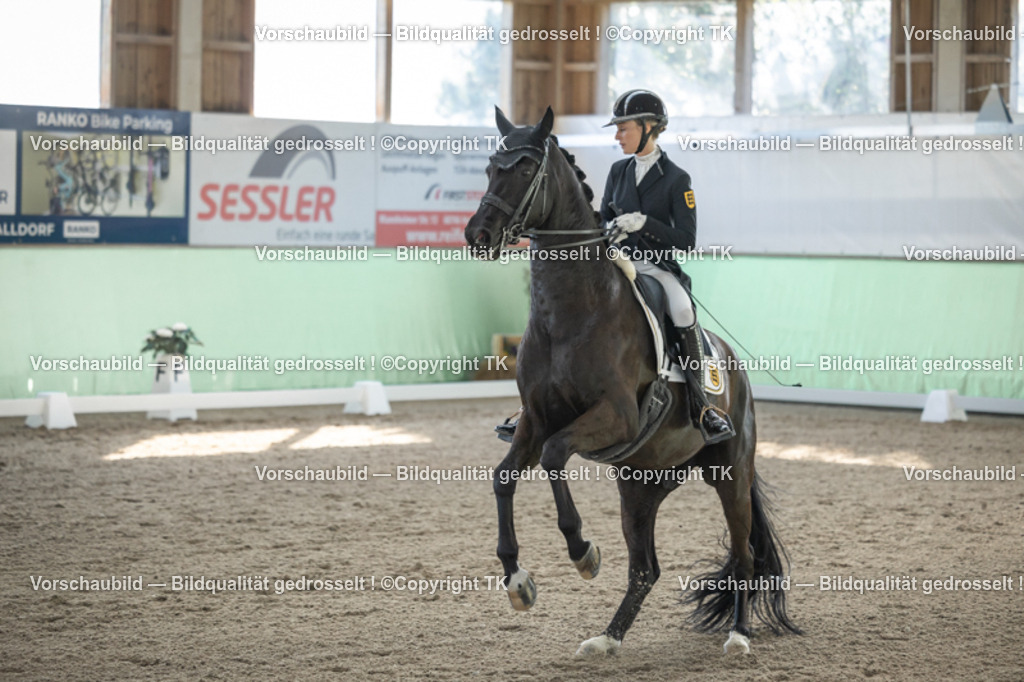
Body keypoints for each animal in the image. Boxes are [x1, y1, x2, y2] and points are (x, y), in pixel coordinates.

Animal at [464, 106, 801, 657]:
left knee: (744, 556)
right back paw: (606, 638)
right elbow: (504, 476)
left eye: (525, 167)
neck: (570, 314)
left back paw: (738, 636)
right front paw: (518, 580)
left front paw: (582, 551)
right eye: (492, 166)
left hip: (729, 472)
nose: (478, 235)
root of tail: (732, 364)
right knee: (646, 569)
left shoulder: (614, 416)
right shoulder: (535, 420)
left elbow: (555, 456)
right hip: (642, 481)